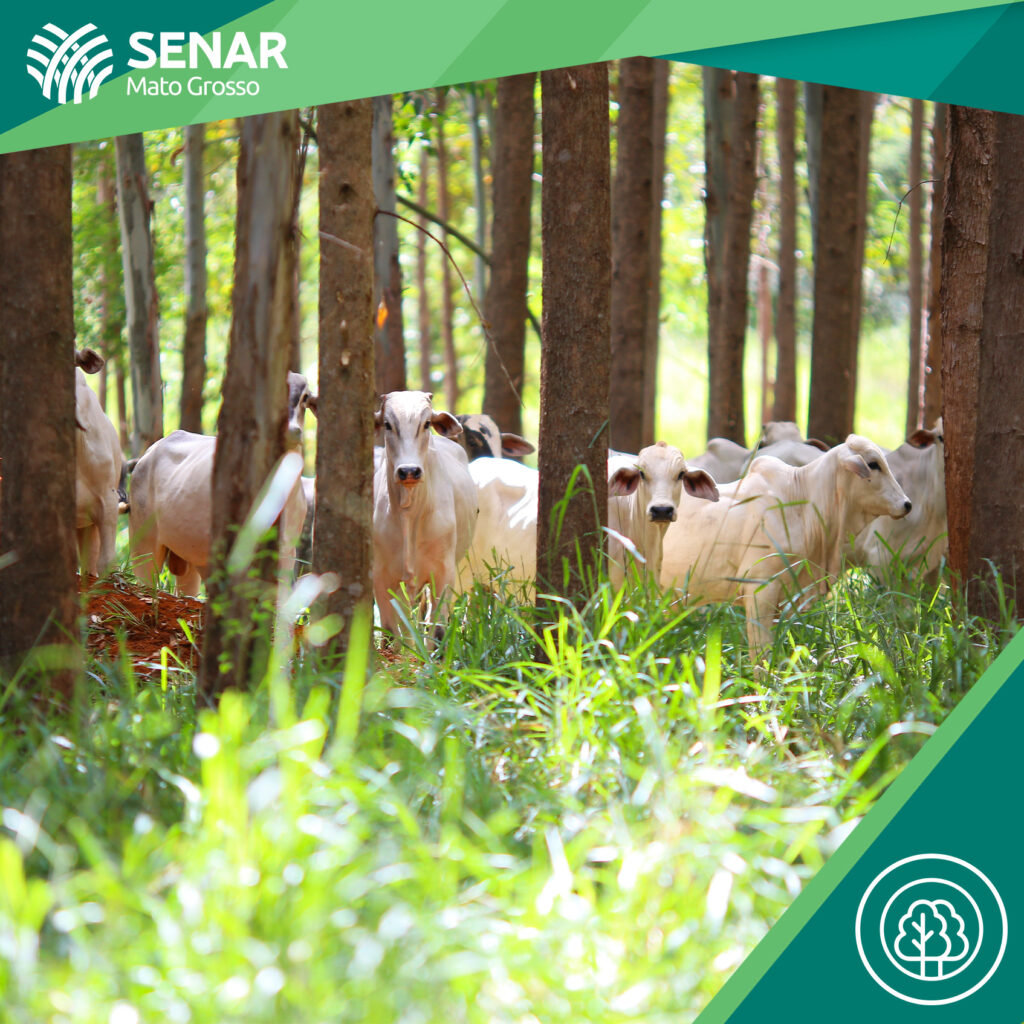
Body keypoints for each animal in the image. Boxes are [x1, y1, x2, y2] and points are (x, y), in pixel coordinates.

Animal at [128, 371, 316, 595]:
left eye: (305, 397)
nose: (292, 430)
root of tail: (147, 455)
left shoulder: (287, 551)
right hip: (144, 546)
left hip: (187, 561)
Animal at [373, 391, 478, 638]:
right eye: (387, 424)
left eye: (427, 423)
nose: (409, 471)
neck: (409, 515)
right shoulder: (382, 577)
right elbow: (391, 633)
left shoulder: (443, 573)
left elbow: (437, 629)